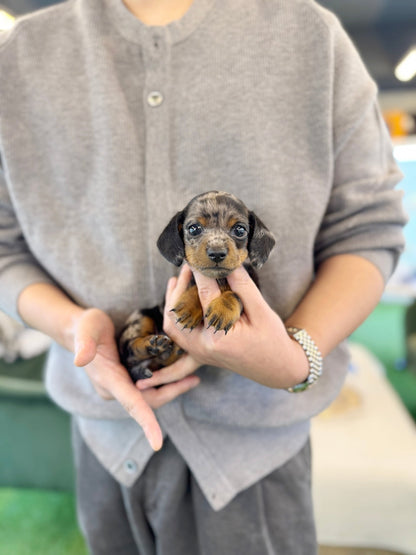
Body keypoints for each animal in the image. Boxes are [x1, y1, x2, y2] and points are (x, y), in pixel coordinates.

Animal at [118, 192, 274, 382]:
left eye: (240, 230)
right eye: (194, 229)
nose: (216, 253)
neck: (219, 279)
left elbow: (236, 295)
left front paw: (224, 308)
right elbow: (192, 285)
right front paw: (189, 308)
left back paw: (169, 352)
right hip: (140, 318)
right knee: (129, 350)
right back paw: (151, 344)